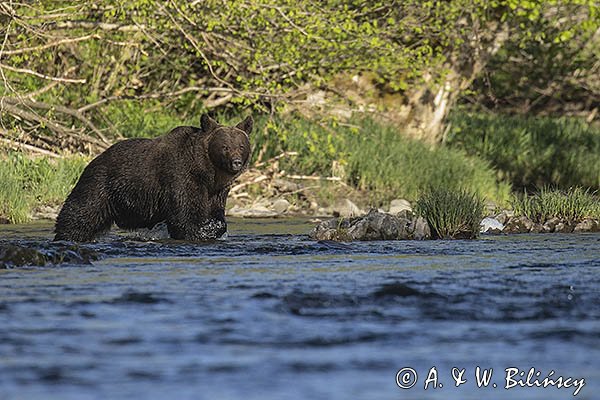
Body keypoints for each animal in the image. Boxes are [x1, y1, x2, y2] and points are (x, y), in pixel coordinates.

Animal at [54, 114, 253, 242]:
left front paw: (214, 227)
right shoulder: (181, 175)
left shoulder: (217, 191)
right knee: (81, 213)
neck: (207, 171)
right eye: (225, 147)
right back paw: (65, 237)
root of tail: (94, 158)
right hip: (102, 184)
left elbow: (216, 213)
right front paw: (201, 232)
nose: (236, 162)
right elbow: (184, 216)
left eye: (241, 146)